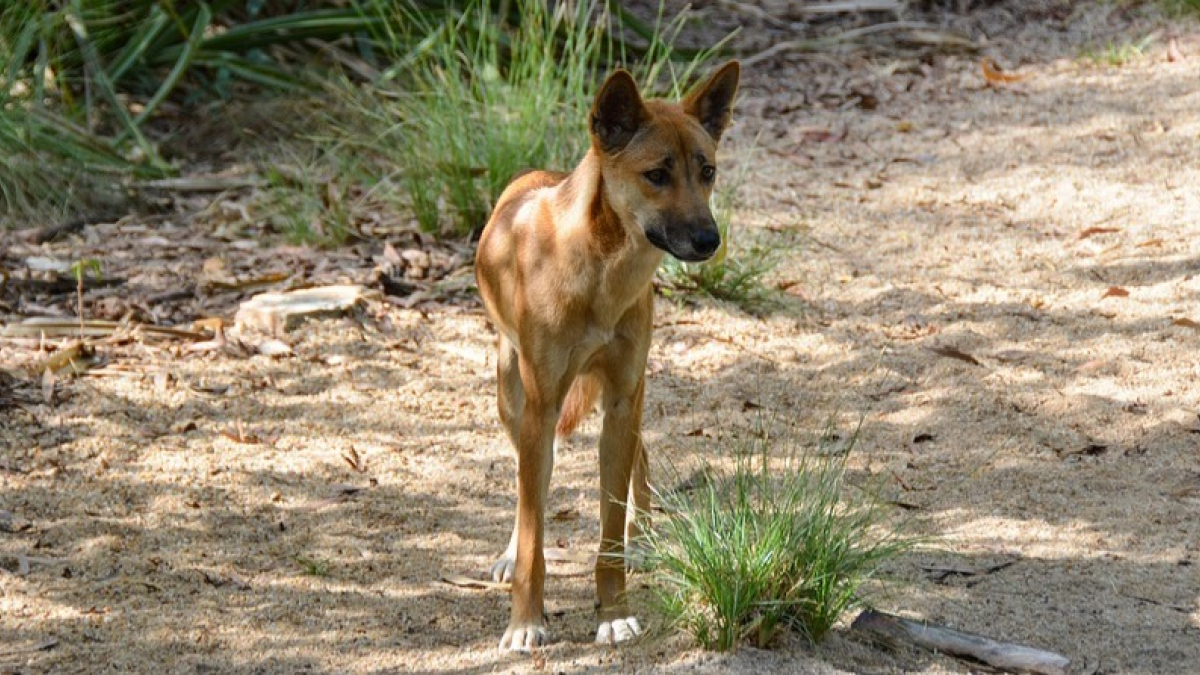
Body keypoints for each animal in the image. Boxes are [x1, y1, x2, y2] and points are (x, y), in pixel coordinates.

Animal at [475, 60, 739, 648]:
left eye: (707, 171)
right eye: (657, 174)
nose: (709, 239)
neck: (601, 273)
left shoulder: (621, 399)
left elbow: (609, 531)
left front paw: (613, 611)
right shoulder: (542, 407)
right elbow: (534, 533)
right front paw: (525, 621)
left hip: (628, 400)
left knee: (639, 459)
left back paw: (642, 536)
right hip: (512, 398)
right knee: (528, 486)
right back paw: (509, 553)